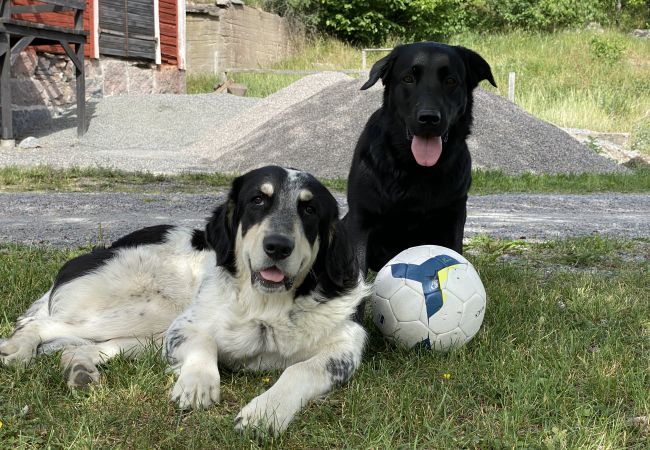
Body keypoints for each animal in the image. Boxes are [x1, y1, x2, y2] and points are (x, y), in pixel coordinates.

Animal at [0, 166, 368, 436]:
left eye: (309, 209)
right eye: (257, 201)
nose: (278, 246)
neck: (266, 306)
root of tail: (94, 252)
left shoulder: (346, 349)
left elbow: (301, 368)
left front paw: (266, 412)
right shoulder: (183, 326)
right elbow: (204, 342)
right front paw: (197, 383)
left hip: (149, 332)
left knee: (82, 346)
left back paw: (80, 369)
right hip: (149, 310)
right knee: (36, 323)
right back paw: (18, 349)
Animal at [344, 42, 492, 274]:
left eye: (451, 81)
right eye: (408, 78)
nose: (429, 118)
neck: (416, 169)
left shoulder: (453, 216)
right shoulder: (361, 218)